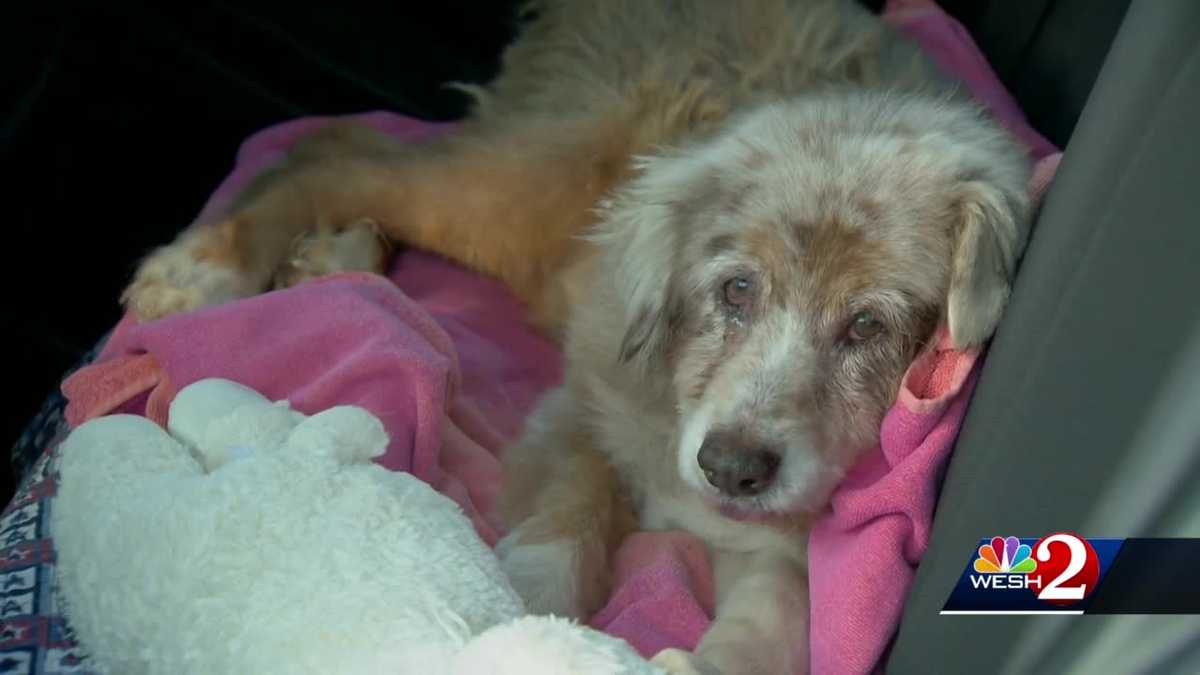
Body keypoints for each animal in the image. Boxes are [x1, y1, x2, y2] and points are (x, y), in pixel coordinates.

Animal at [121, 2, 1032, 667]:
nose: (730, 468)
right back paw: (206, 266)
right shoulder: (583, 405)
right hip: (521, 190)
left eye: (869, 324)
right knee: (341, 146)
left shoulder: (765, 536)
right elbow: (569, 513)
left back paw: (333, 255)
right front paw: (521, 618)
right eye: (735, 288)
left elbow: (781, 611)